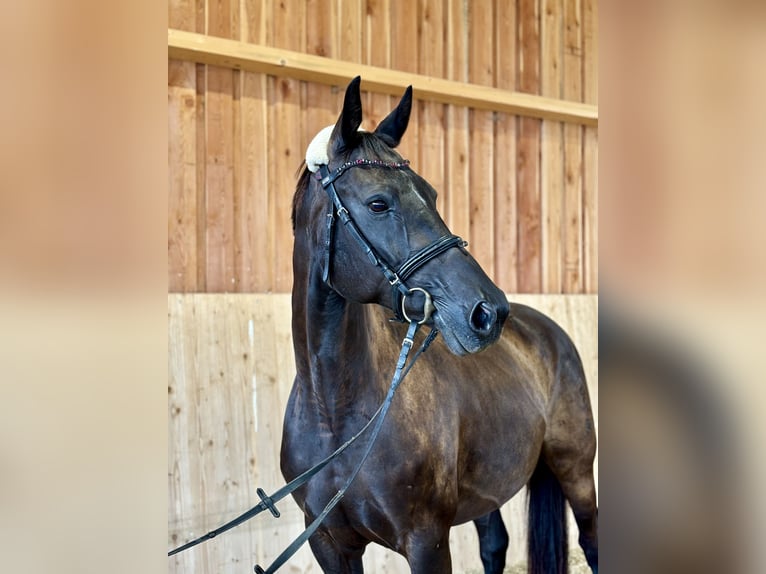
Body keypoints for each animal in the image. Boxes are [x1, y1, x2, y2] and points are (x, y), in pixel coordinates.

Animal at [282, 77, 600, 574]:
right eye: (378, 203)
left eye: (431, 195)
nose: (489, 312)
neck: (336, 414)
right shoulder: (329, 544)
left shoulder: (427, 540)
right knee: (494, 544)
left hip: (576, 469)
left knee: (591, 540)